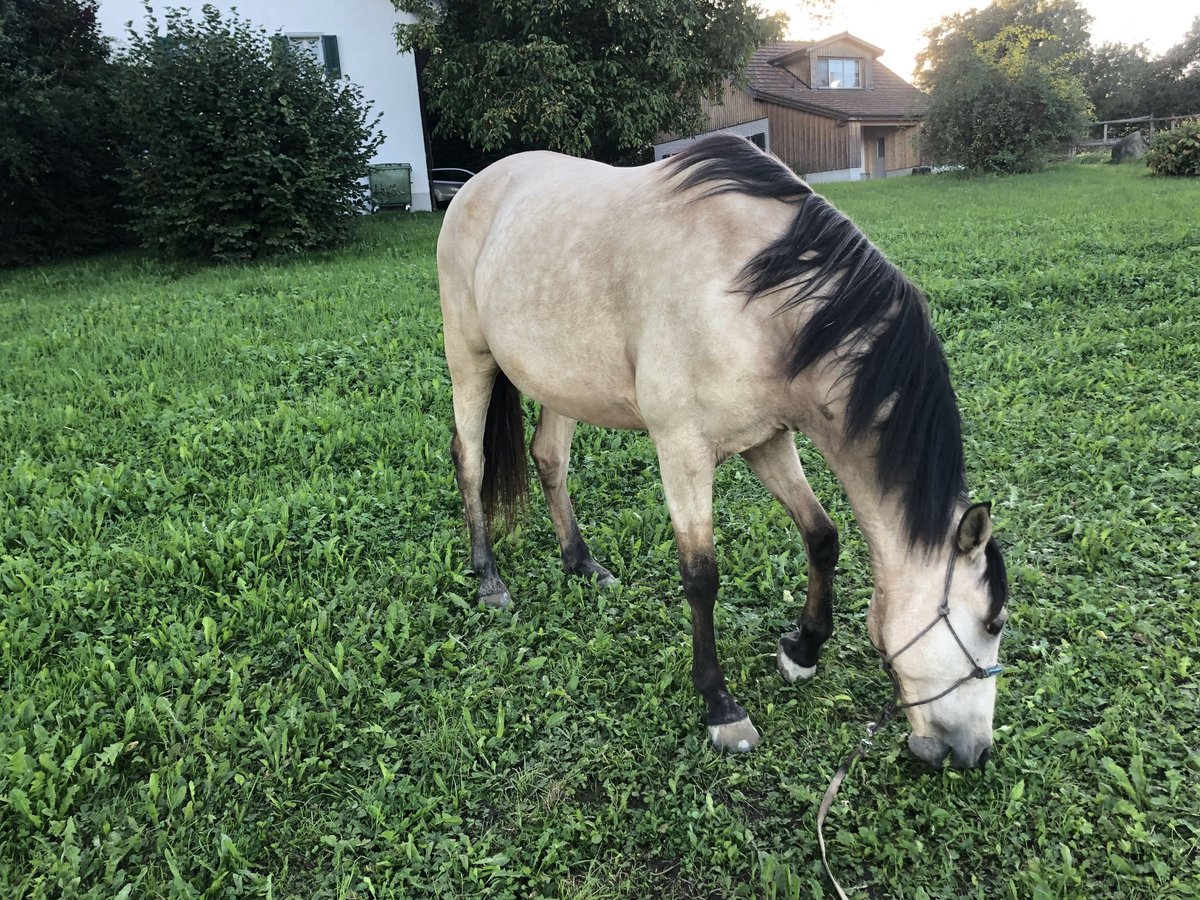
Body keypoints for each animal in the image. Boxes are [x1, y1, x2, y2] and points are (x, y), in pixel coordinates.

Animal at [437, 134, 1009, 769]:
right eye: (993, 622)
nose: (975, 752)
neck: (757, 297)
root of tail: (474, 185)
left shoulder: (766, 439)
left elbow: (822, 535)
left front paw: (802, 649)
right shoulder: (682, 451)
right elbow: (701, 577)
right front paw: (721, 705)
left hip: (560, 381)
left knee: (548, 458)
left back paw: (582, 562)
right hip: (469, 358)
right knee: (470, 461)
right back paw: (489, 579)